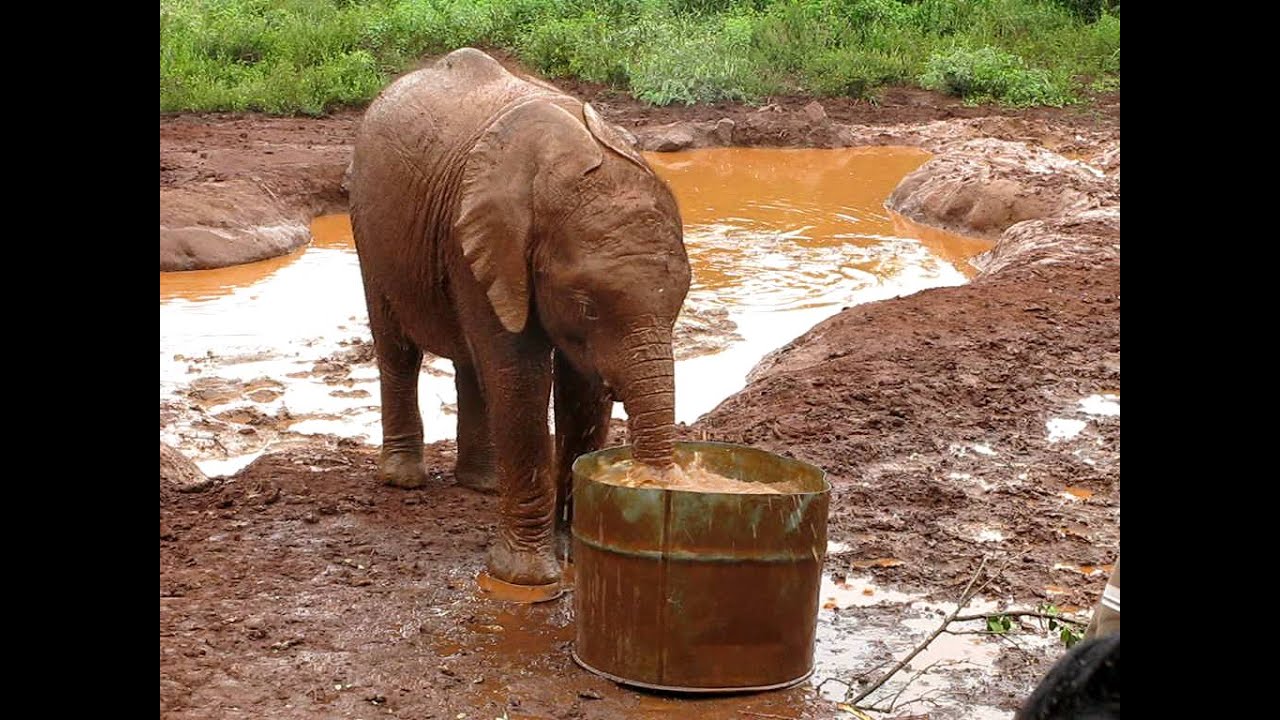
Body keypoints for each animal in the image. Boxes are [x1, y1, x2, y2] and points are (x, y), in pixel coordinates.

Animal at [348, 48, 691, 594]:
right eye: (587, 304)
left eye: (681, 297)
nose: (657, 485)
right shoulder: (486, 243)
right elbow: (522, 380)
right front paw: (526, 580)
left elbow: (580, 392)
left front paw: (573, 555)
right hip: (370, 227)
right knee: (398, 349)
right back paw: (403, 479)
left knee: (470, 363)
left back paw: (482, 485)